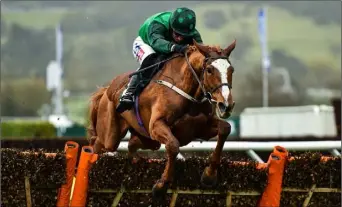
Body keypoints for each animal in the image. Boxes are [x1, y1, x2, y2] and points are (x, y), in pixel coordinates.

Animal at [87, 39, 236, 196]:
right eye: (209, 70)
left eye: (231, 70)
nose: (226, 105)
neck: (186, 90)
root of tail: (106, 90)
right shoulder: (156, 125)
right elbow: (173, 145)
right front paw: (161, 184)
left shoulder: (201, 128)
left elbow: (225, 128)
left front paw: (209, 175)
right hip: (110, 136)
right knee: (97, 143)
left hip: (148, 140)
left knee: (132, 144)